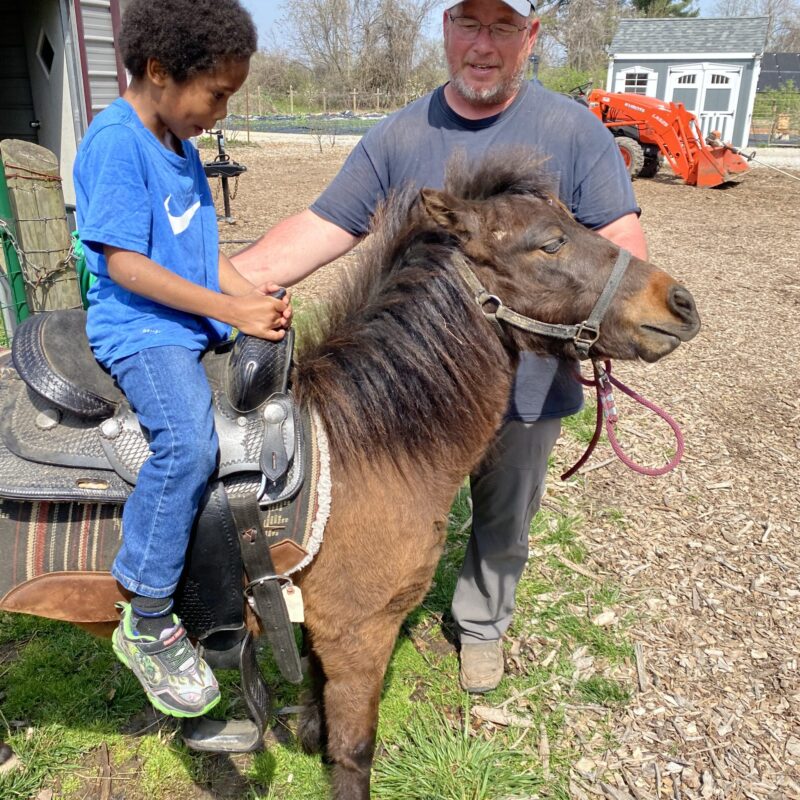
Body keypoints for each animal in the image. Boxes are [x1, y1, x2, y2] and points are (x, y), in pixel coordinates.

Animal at [0, 151, 700, 799]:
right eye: (551, 242)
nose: (681, 302)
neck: (367, 440)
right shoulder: (361, 631)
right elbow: (356, 751)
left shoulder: (319, 620)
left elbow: (318, 696)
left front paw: (310, 731)